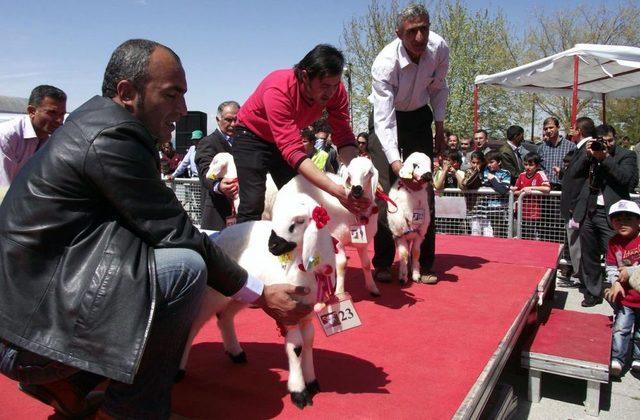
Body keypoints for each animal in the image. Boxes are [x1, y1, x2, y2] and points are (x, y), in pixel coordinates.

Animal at [179, 194, 336, 410]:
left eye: (298, 221)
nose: (272, 246)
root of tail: (220, 235)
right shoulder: (288, 313)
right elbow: (296, 347)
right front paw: (299, 392)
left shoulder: (306, 314)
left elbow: (309, 343)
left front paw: (311, 381)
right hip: (215, 291)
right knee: (194, 324)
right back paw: (179, 369)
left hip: (244, 292)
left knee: (225, 316)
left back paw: (236, 352)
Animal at [276, 156, 380, 296]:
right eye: (349, 173)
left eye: (369, 172)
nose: (356, 189)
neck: (355, 213)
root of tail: (294, 180)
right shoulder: (337, 240)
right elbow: (342, 265)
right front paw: (340, 292)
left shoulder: (363, 244)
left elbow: (366, 264)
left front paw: (372, 287)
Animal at [388, 153, 432, 284]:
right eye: (415, 165)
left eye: (430, 164)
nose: (428, 175)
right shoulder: (399, 235)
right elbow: (403, 254)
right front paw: (403, 277)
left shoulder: (419, 234)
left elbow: (416, 253)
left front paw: (416, 275)